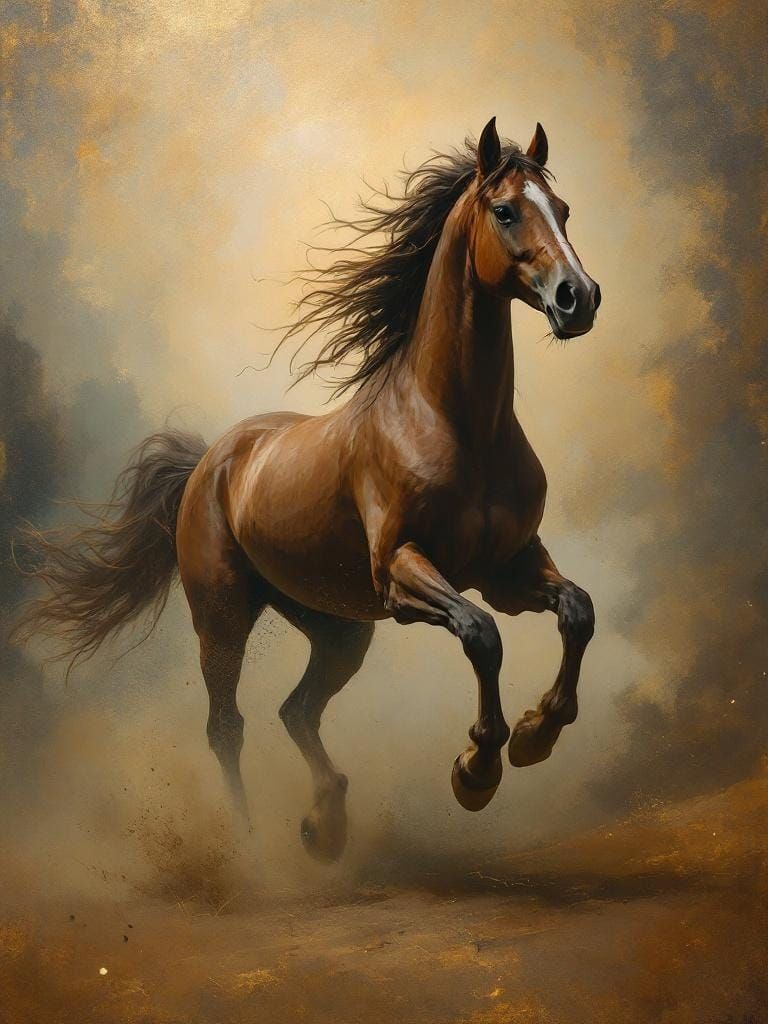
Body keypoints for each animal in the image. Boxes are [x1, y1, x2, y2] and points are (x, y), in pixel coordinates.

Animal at [17, 117, 600, 862]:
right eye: (505, 211)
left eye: (564, 211)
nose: (578, 297)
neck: (457, 425)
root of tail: (210, 462)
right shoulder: (402, 572)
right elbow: (481, 634)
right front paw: (477, 769)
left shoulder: (507, 567)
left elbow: (577, 611)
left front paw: (534, 733)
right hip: (223, 617)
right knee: (227, 726)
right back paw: (252, 846)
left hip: (337, 628)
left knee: (295, 711)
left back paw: (324, 823)